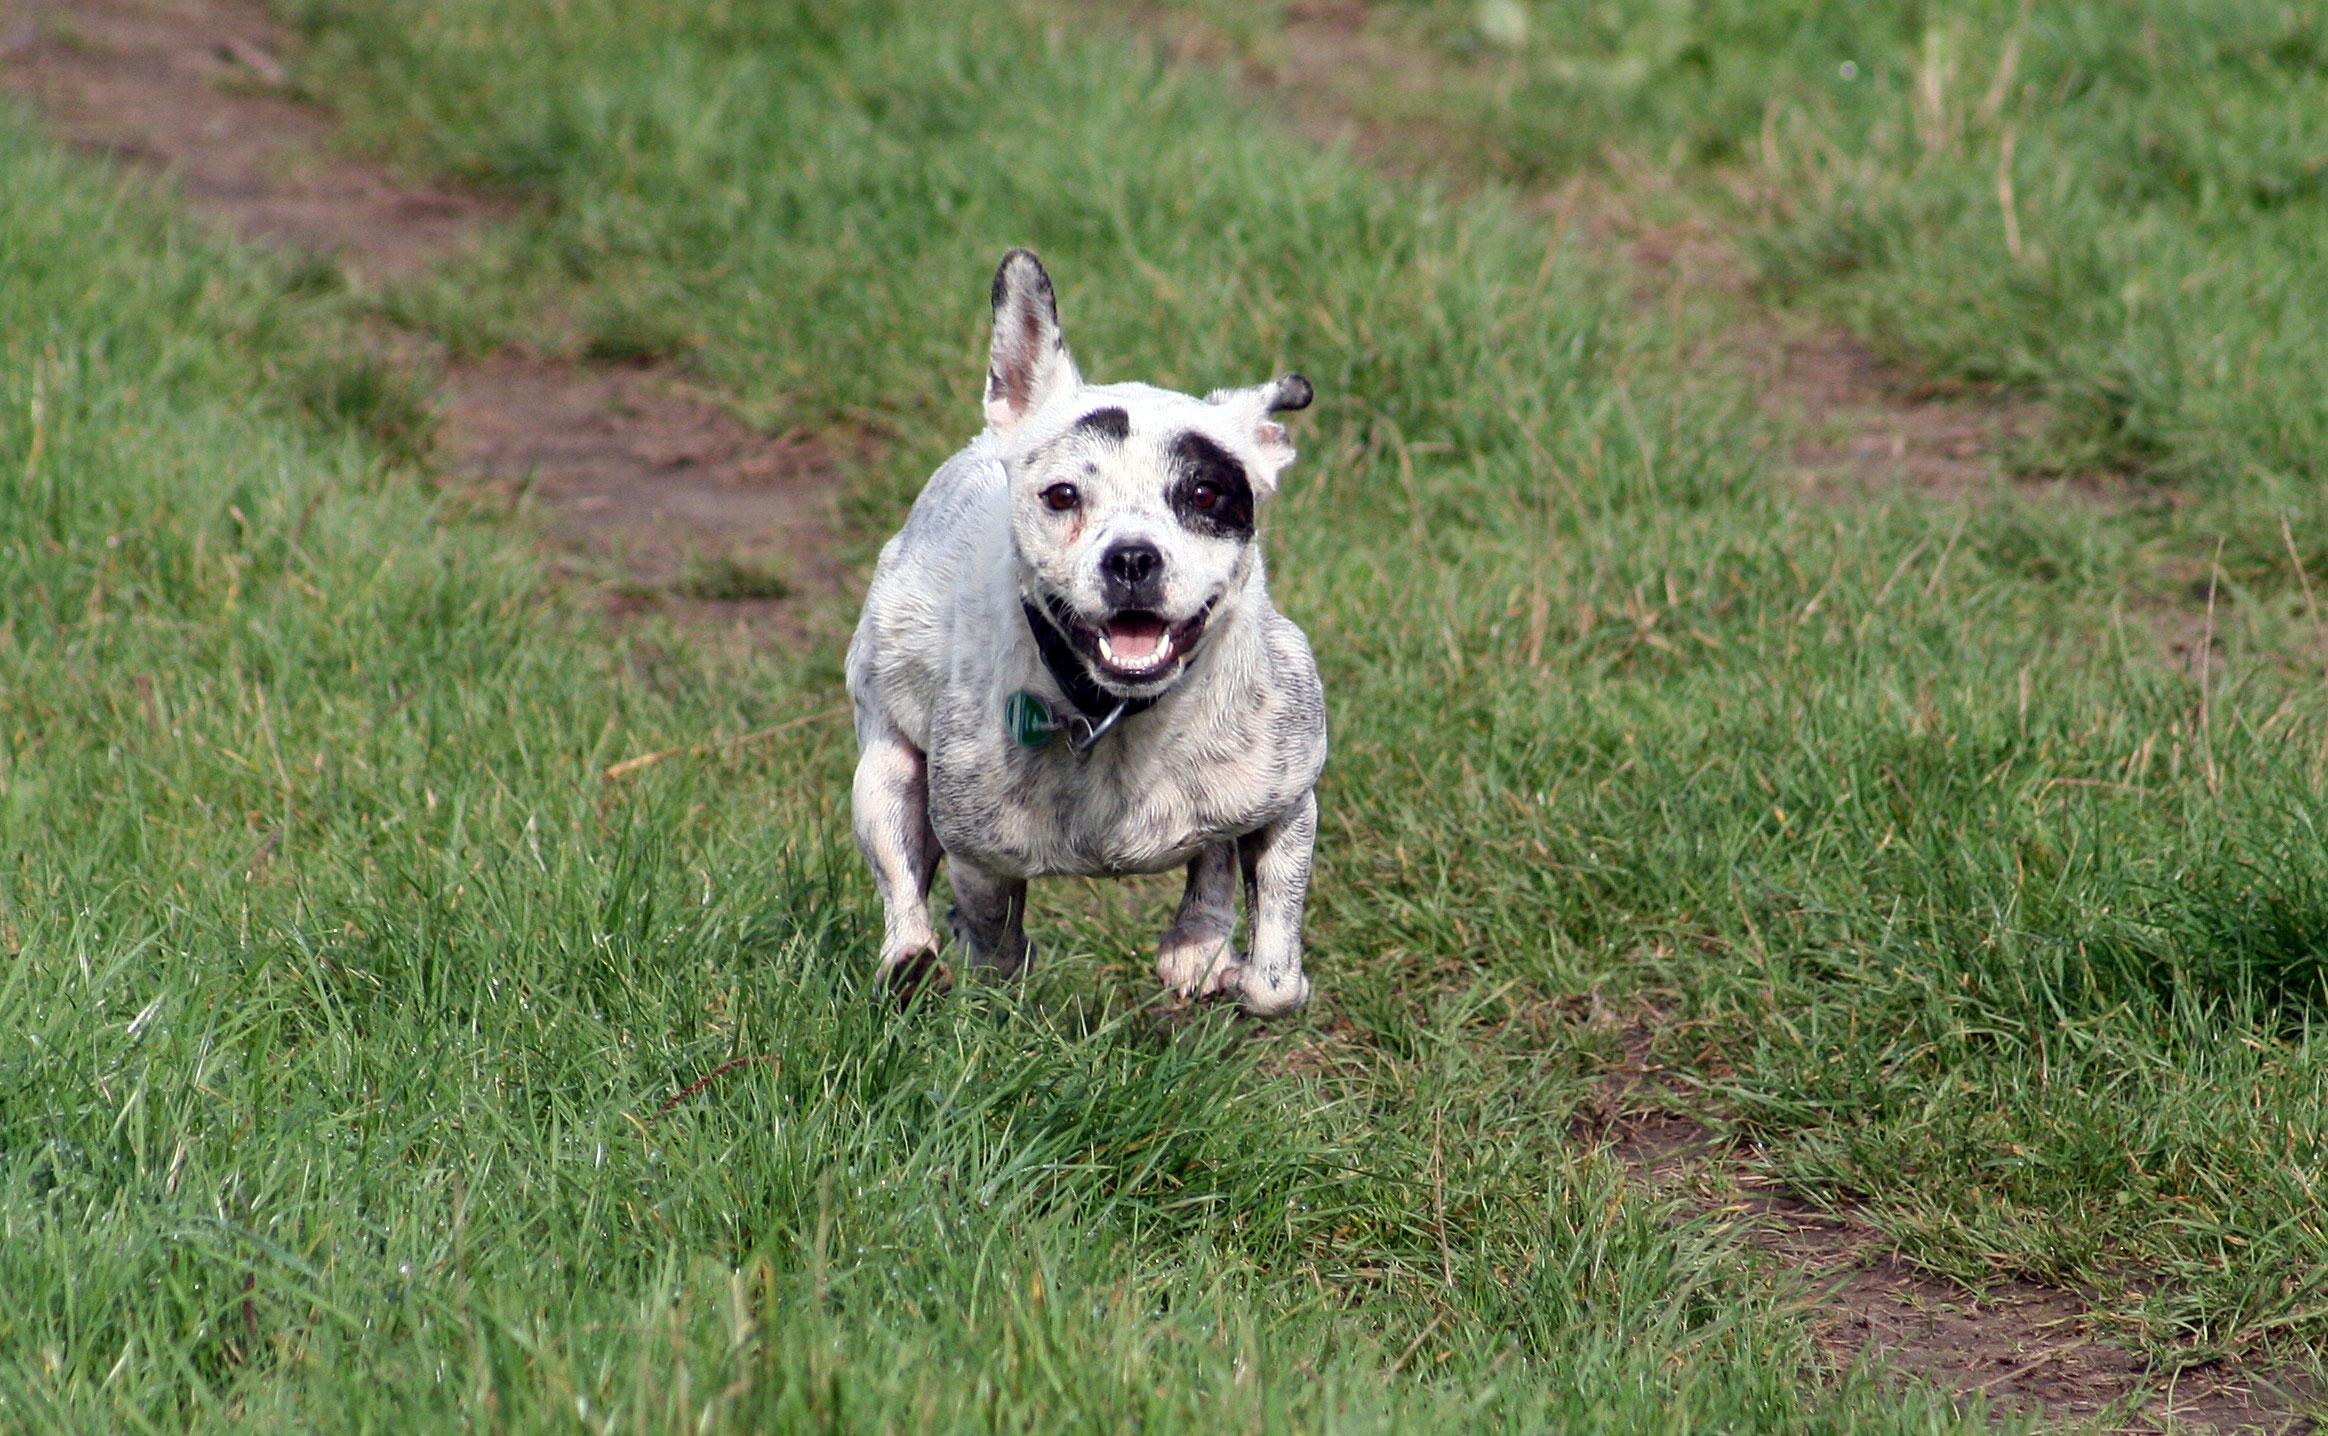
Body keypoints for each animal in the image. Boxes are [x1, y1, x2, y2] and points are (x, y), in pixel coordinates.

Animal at [852, 246, 1331, 1014]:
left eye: (1204, 493)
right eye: (1062, 496)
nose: (1132, 557)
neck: (1119, 712)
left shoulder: (1290, 803)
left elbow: (1274, 981)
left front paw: (1223, 957)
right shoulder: (978, 856)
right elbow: (993, 937)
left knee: (1213, 858)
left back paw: (1196, 942)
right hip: (883, 770)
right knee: (901, 879)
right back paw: (910, 958)